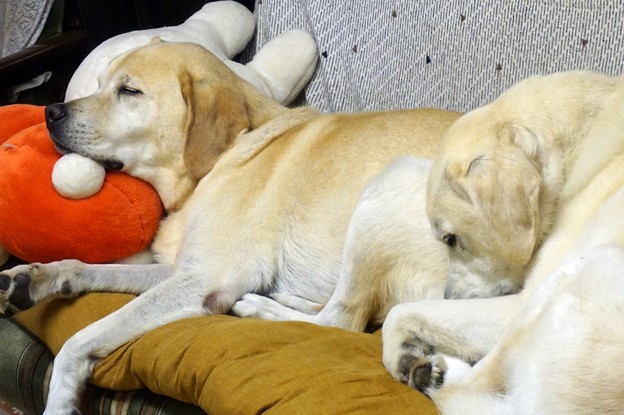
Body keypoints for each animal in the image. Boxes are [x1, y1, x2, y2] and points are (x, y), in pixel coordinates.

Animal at [0, 40, 460, 414]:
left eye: (129, 91)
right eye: (98, 83)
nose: (50, 111)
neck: (215, 164)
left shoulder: (205, 279)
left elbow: (82, 339)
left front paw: (60, 400)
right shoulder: (181, 269)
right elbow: (87, 268)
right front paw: (35, 277)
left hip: (387, 189)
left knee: (342, 320)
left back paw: (260, 306)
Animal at [382, 71, 624, 412]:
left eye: (451, 239)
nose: (449, 297)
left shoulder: (517, 303)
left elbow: (399, 312)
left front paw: (399, 355)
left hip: (571, 281)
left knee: (469, 385)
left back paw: (433, 374)